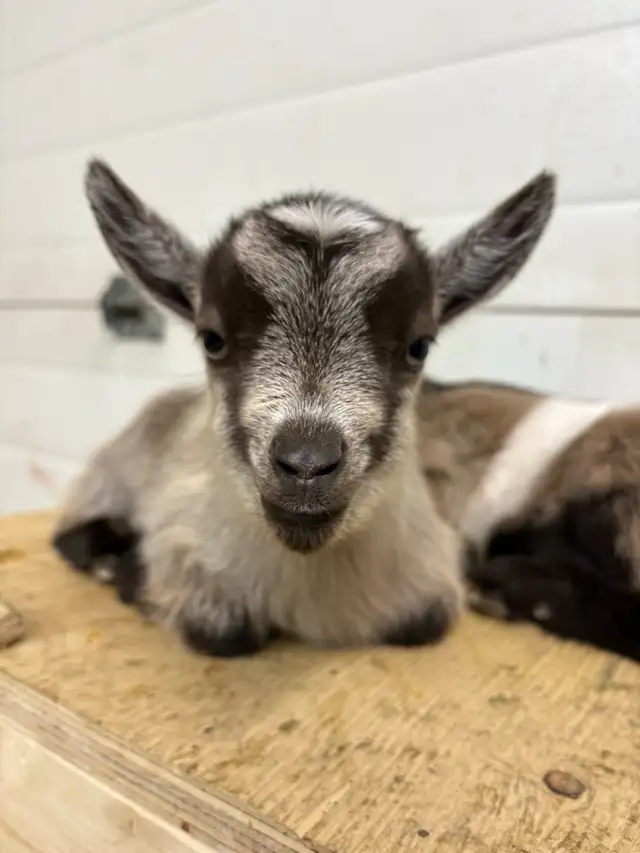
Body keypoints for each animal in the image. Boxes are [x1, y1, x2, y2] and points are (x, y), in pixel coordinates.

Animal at [52, 159, 555, 657]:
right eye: (212, 339)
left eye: (419, 346)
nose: (307, 464)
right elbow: (220, 633)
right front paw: (136, 583)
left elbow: (424, 624)